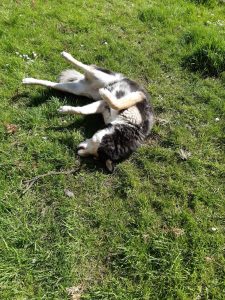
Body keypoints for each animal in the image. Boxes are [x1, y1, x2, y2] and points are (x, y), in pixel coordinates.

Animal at [22, 51, 153, 171]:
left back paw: (28, 80)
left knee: (52, 84)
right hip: (101, 77)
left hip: (76, 89)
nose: (78, 150)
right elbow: (115, 103)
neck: (128, 126)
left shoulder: (102, 105)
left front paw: (65, 109)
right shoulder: (138, 96)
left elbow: (82, 111)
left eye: (94, 156)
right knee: (87, 67)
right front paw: (105, 94)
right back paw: (66, 55)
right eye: (95, 147)